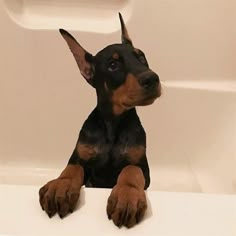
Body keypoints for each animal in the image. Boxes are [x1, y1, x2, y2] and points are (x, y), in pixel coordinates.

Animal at [38, 13, 161, 228]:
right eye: (113, 65)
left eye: (141, 57)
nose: (152, 79)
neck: (113, 124)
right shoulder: (81, 159)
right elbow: (73, 167)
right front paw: (61, 185)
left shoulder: (143, 169)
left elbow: (131, 169)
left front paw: (126, 196)